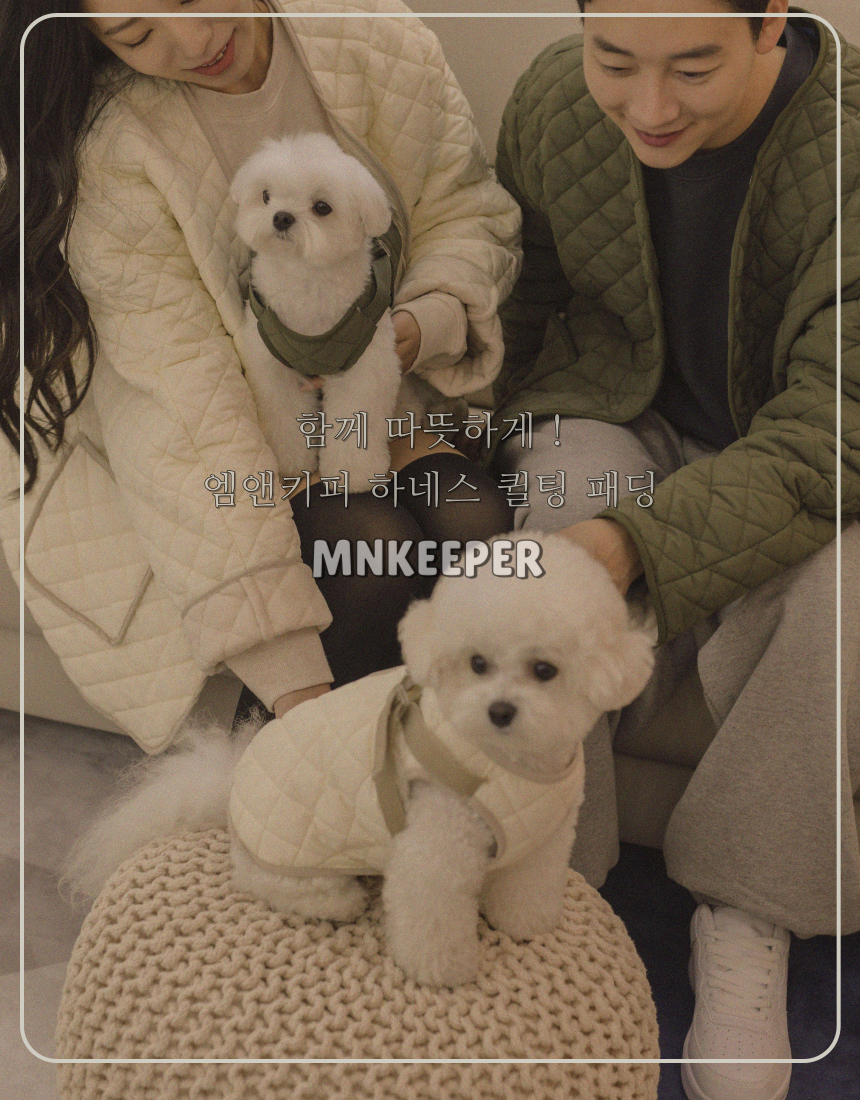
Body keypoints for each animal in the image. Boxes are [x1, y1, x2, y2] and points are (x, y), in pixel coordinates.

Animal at [64, 534, 655, 987]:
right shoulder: (435, 851)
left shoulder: (543, 841)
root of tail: (231, 780)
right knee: (270, 884)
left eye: (545, 670)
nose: (500, 710)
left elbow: (528, 887)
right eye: (477, 663)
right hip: (290, 854)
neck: (514, 768)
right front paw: (443, 971)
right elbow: (433, 917)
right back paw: (338, 899)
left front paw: (523, 923)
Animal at [231, 133, 405, 488]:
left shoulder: (366, 367)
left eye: (322, 207)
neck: (306, 280)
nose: (281, 216)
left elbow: (357, 413)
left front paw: (355, 472)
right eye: (266, 196)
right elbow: (282, 415)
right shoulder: (271, 367)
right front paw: (291, 462)